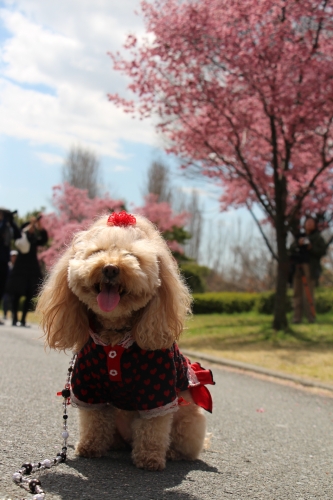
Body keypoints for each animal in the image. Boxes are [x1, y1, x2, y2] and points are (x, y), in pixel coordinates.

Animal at [37, 213, 213, 470]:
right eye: (97, 252)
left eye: (133, 256)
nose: (110, 269)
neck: (115, 336)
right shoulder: (88, 386)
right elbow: (94, 419)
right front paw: (89, 447)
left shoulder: (157, 391)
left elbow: (154, 427)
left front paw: (150, 459)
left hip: (189, 416)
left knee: (183, 443)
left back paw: (172, 453)